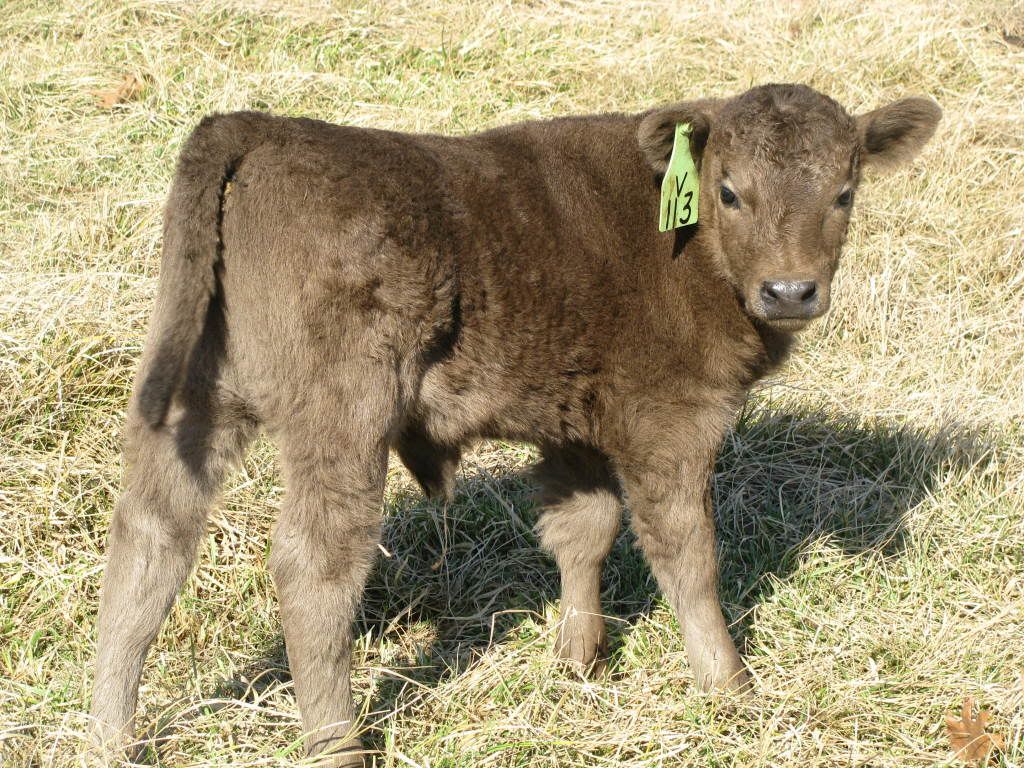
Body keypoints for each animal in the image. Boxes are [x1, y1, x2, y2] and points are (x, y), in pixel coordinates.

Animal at [89, 83, 940, 765]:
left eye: (845, 192)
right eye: (729, 192)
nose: (791, 291)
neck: (680, 242)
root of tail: (264, 127)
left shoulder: (578, 428)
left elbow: (583, 529)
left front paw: (579, 660)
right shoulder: (671, 423)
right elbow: (689, 555)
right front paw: (733, 688)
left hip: (193, 399)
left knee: (149, 539)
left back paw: (108, 735)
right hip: (343, 420)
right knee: (313, 568)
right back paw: (337, 745)